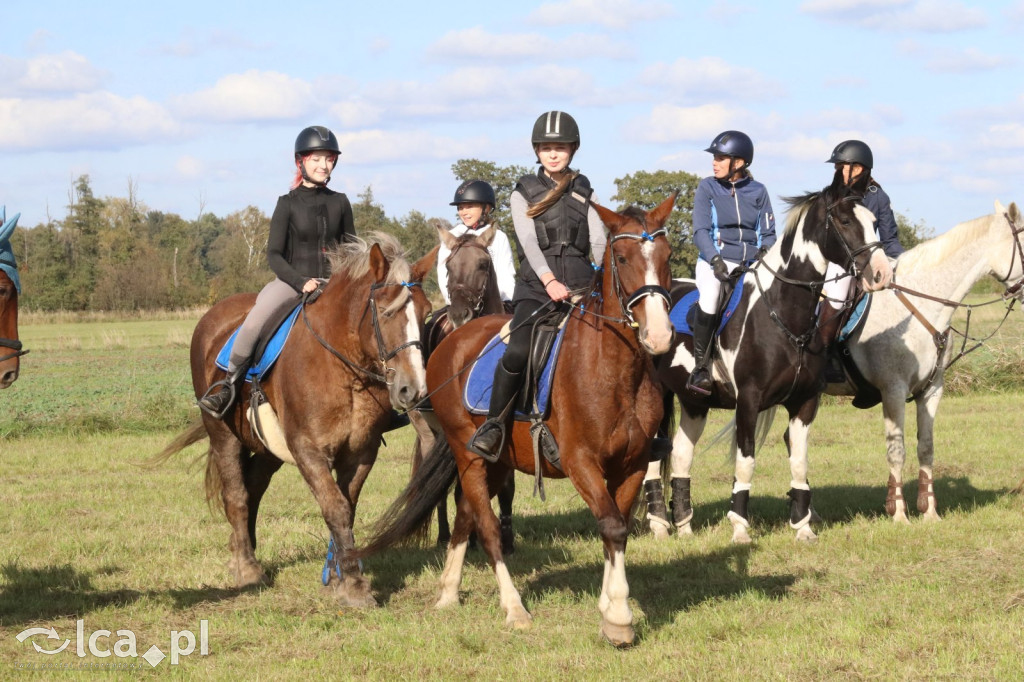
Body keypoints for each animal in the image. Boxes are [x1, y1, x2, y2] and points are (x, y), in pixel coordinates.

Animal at [153, 235, 434, 606]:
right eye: (386, 312)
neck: (344, 372)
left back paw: (245, 550)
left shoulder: (361, 453)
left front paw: (339, 576)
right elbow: (335, 508)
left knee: (253, 488)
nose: (412, 388)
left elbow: (347, 507)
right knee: (237, 495)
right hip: (223, 434)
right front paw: (355, 585)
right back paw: (247, 568)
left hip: (268, 449)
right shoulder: (308, 450)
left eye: (426, 313)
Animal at [360, 195, 679, 643]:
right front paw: (618, 617)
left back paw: (448, 592)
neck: (615, 369)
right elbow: (612, 526)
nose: (660, 336)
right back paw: (514, 608)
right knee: (485, 524)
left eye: (666, 257)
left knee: (468, 515)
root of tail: (453, 338)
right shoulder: (582, 463)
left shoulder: (632, 465)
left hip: (496, 461)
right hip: (468, 454)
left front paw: (609, 611)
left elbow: (615, 531)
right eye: (621, 257)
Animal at [651, 174, 892, 540]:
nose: (881, 274)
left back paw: (684, 526)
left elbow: (800, 460)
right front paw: (739, 528)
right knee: (652, 457)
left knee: (680, 455)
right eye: (845, 221)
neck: (783, 313)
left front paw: (803, 527)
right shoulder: (748, 402)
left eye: (874, 221)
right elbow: (746, 462)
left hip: (694, 402)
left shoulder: (804, 402)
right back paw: (658, 524)